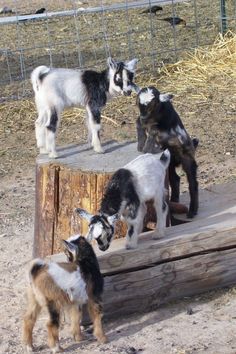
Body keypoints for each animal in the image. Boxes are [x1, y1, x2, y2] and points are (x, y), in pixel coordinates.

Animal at [136, 86, 198, 218]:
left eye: (152, 104)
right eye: (138, 103)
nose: (144, 117)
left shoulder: (162, 129)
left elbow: (153, 131)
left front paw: (146, 149)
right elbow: (138, 122)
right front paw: (140, 144)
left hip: (187, 158)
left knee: (193, 183)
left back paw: (192, 211)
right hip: (169, 163)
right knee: (175, 179)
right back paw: (174, 202)